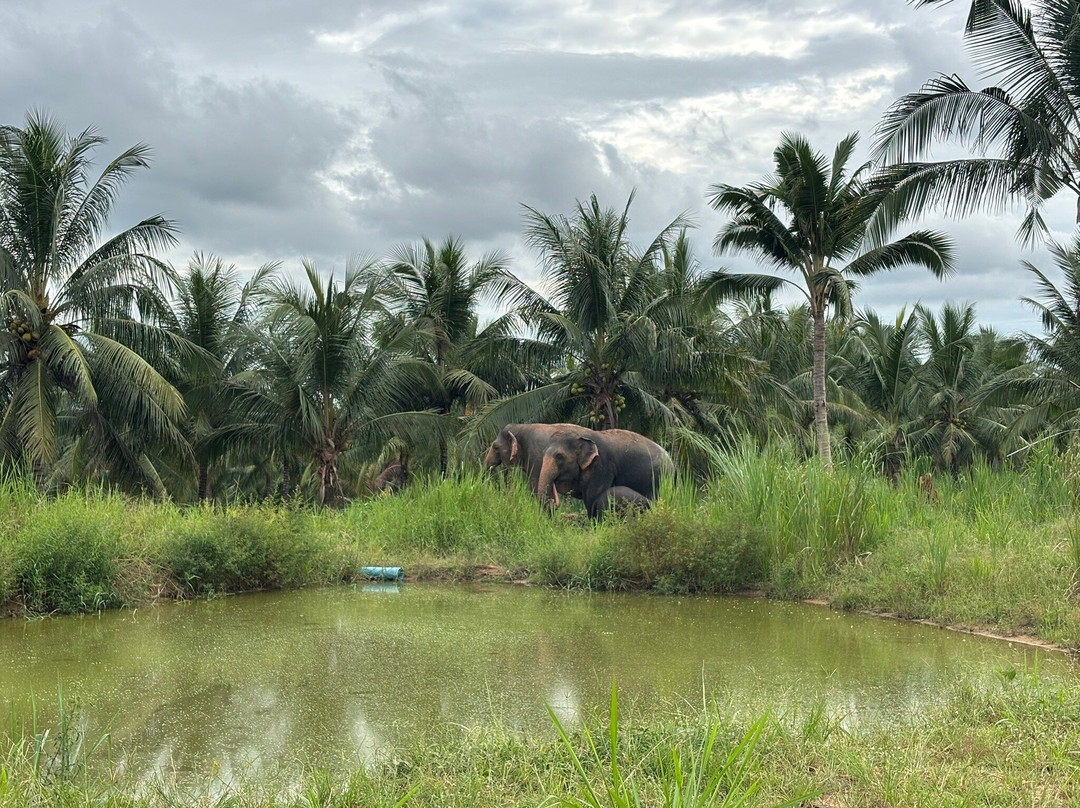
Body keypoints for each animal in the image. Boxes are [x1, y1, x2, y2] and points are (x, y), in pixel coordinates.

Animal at [536, 427, 674, 519]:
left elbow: (592, 496)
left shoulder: (602, 465)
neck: (580, 435)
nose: (553, 504)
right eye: (542, 453)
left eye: (559, 456)